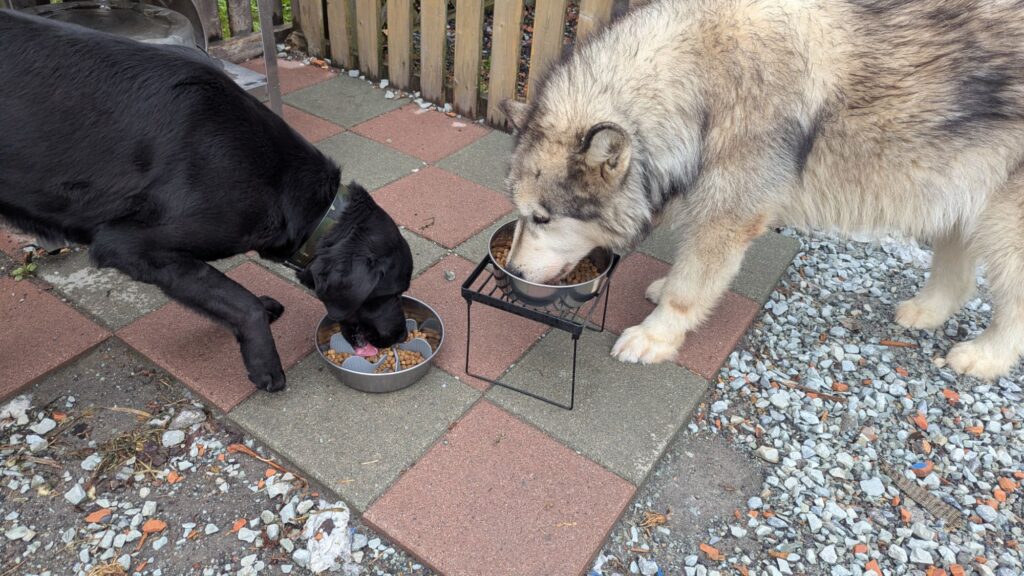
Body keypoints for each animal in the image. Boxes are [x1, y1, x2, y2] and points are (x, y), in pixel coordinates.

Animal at [0, 10, 414, 392]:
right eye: (389, 292)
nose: (400, 336)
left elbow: (228, 295)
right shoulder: (131, 246)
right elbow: (240, 301)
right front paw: (265, 365)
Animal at [500, 0, 1024, 380]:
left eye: (542, 218)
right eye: (521, 215)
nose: (513, 272)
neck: (701, 89)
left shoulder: (727, 221)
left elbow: (689, 290)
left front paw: (656, 338)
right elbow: (686, 271)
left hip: (1003, 227)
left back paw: (986, 357)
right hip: (958, 194)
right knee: (960, 278)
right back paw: (926, 312)